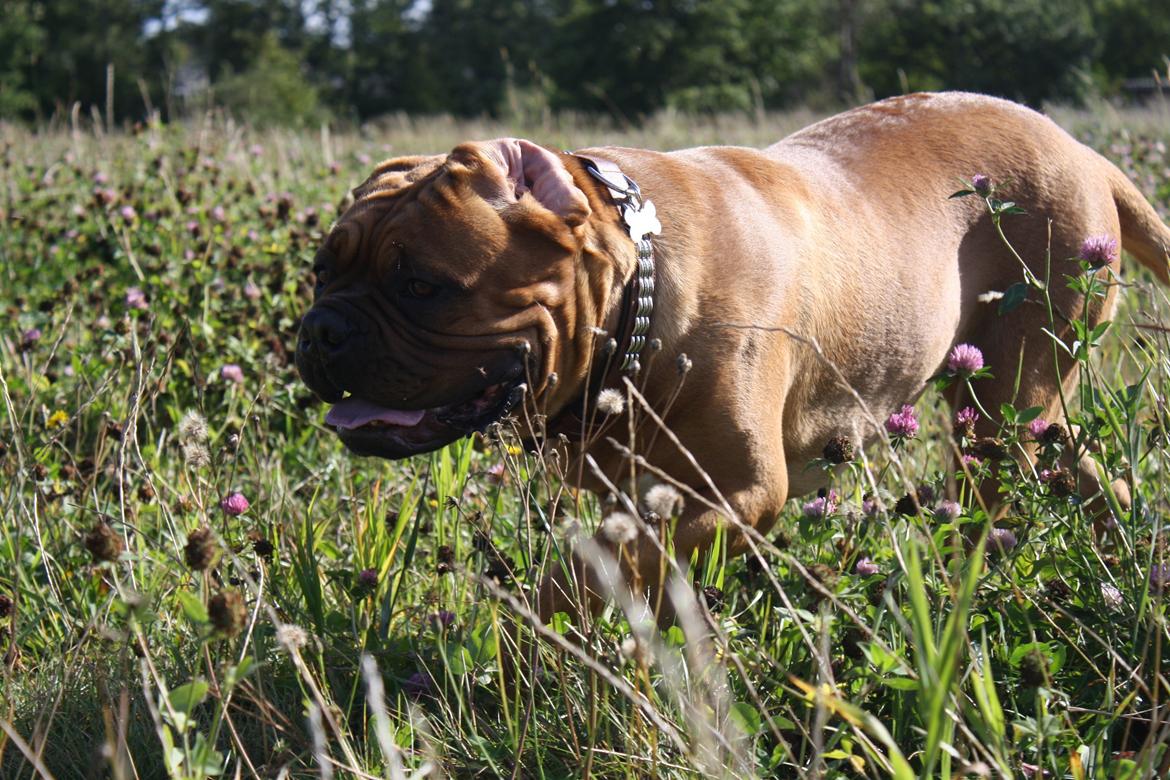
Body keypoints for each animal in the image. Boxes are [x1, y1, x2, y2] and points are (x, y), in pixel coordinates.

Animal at [297, 91, 1170, 626]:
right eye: (320, 270)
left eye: (421, 285)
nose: (321, 331)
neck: (637, 301)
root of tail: (1083, 151)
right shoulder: (640, 496)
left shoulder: (735, 493)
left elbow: (594, 569)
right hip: (1031, 413)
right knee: (1084, 470)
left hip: (999, 406)